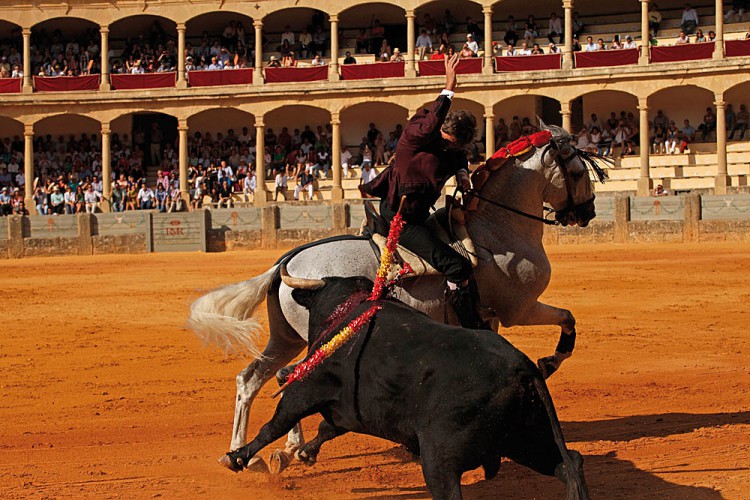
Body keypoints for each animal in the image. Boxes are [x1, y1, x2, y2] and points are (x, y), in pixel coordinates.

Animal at [220, 278, 592, 500]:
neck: (347, 310)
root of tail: (522, 368)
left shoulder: (308, 387)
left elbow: (275, 424)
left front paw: (238, 457)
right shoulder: (349, 410)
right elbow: (328, 427)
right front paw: (304, 453)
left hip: (441, 458)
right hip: (528, 438)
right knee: (569, 464)